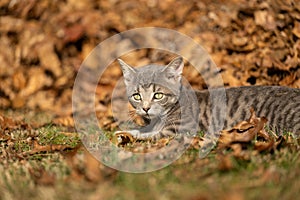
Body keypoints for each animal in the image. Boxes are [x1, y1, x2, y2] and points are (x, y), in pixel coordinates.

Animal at [116, 55, 298, 139]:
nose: (145, 108)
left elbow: (150, 136)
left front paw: (126, 135)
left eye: (158, 95)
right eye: (137, 96)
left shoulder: (179, 131)